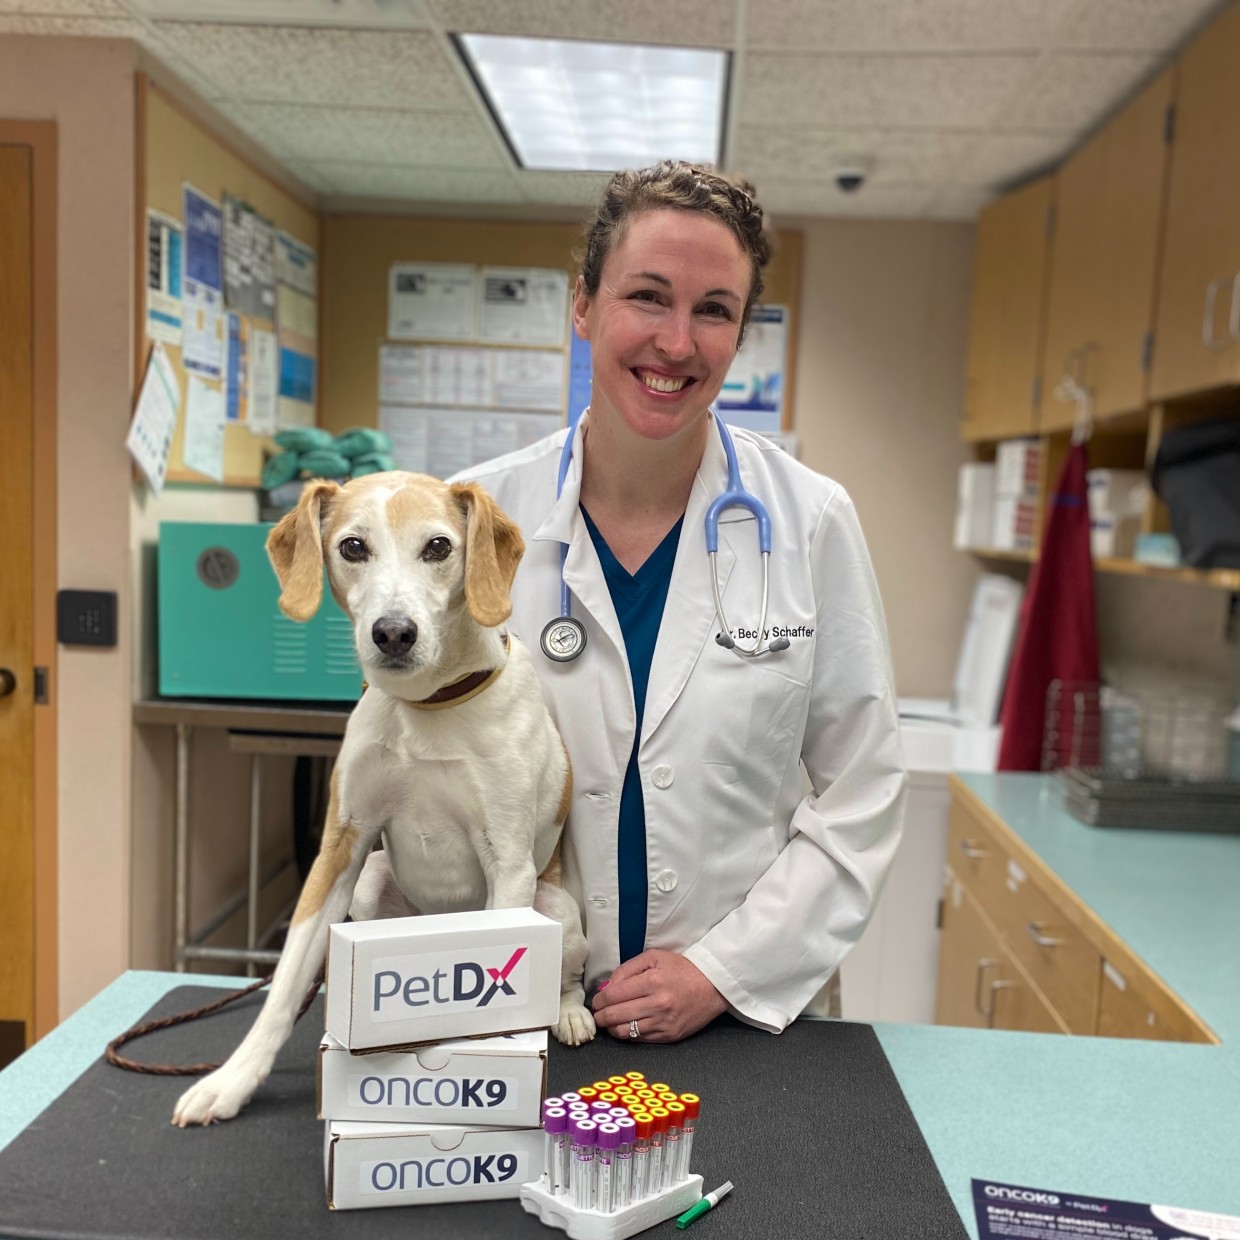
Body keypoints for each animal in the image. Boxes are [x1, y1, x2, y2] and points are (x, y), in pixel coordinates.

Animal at [174, 468, 595, 1130]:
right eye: (352, 547)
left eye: (439, 546)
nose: (394, 633)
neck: (426, 706)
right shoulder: (340, 849)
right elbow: (286, 983)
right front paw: (232, 1082)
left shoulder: (508, 863)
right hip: (371, 888)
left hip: (555, 909)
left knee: (570, 977)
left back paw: (572, 1014)